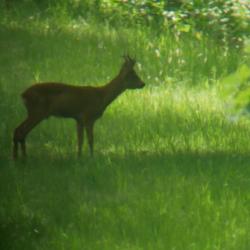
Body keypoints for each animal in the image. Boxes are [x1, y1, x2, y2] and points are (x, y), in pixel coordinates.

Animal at [13, 55, 146, 159]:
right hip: (37, 112)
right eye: (133, 75)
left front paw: (79, 157)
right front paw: (91, 157)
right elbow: (90, 139)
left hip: (34, 112)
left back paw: (19, 157)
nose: (143, 83)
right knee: (21, 131)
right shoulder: (88, 116)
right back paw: (20, 157)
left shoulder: (78, 119)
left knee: (19, 130)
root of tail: (23, 94)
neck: (101, 96)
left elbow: (80, 140)